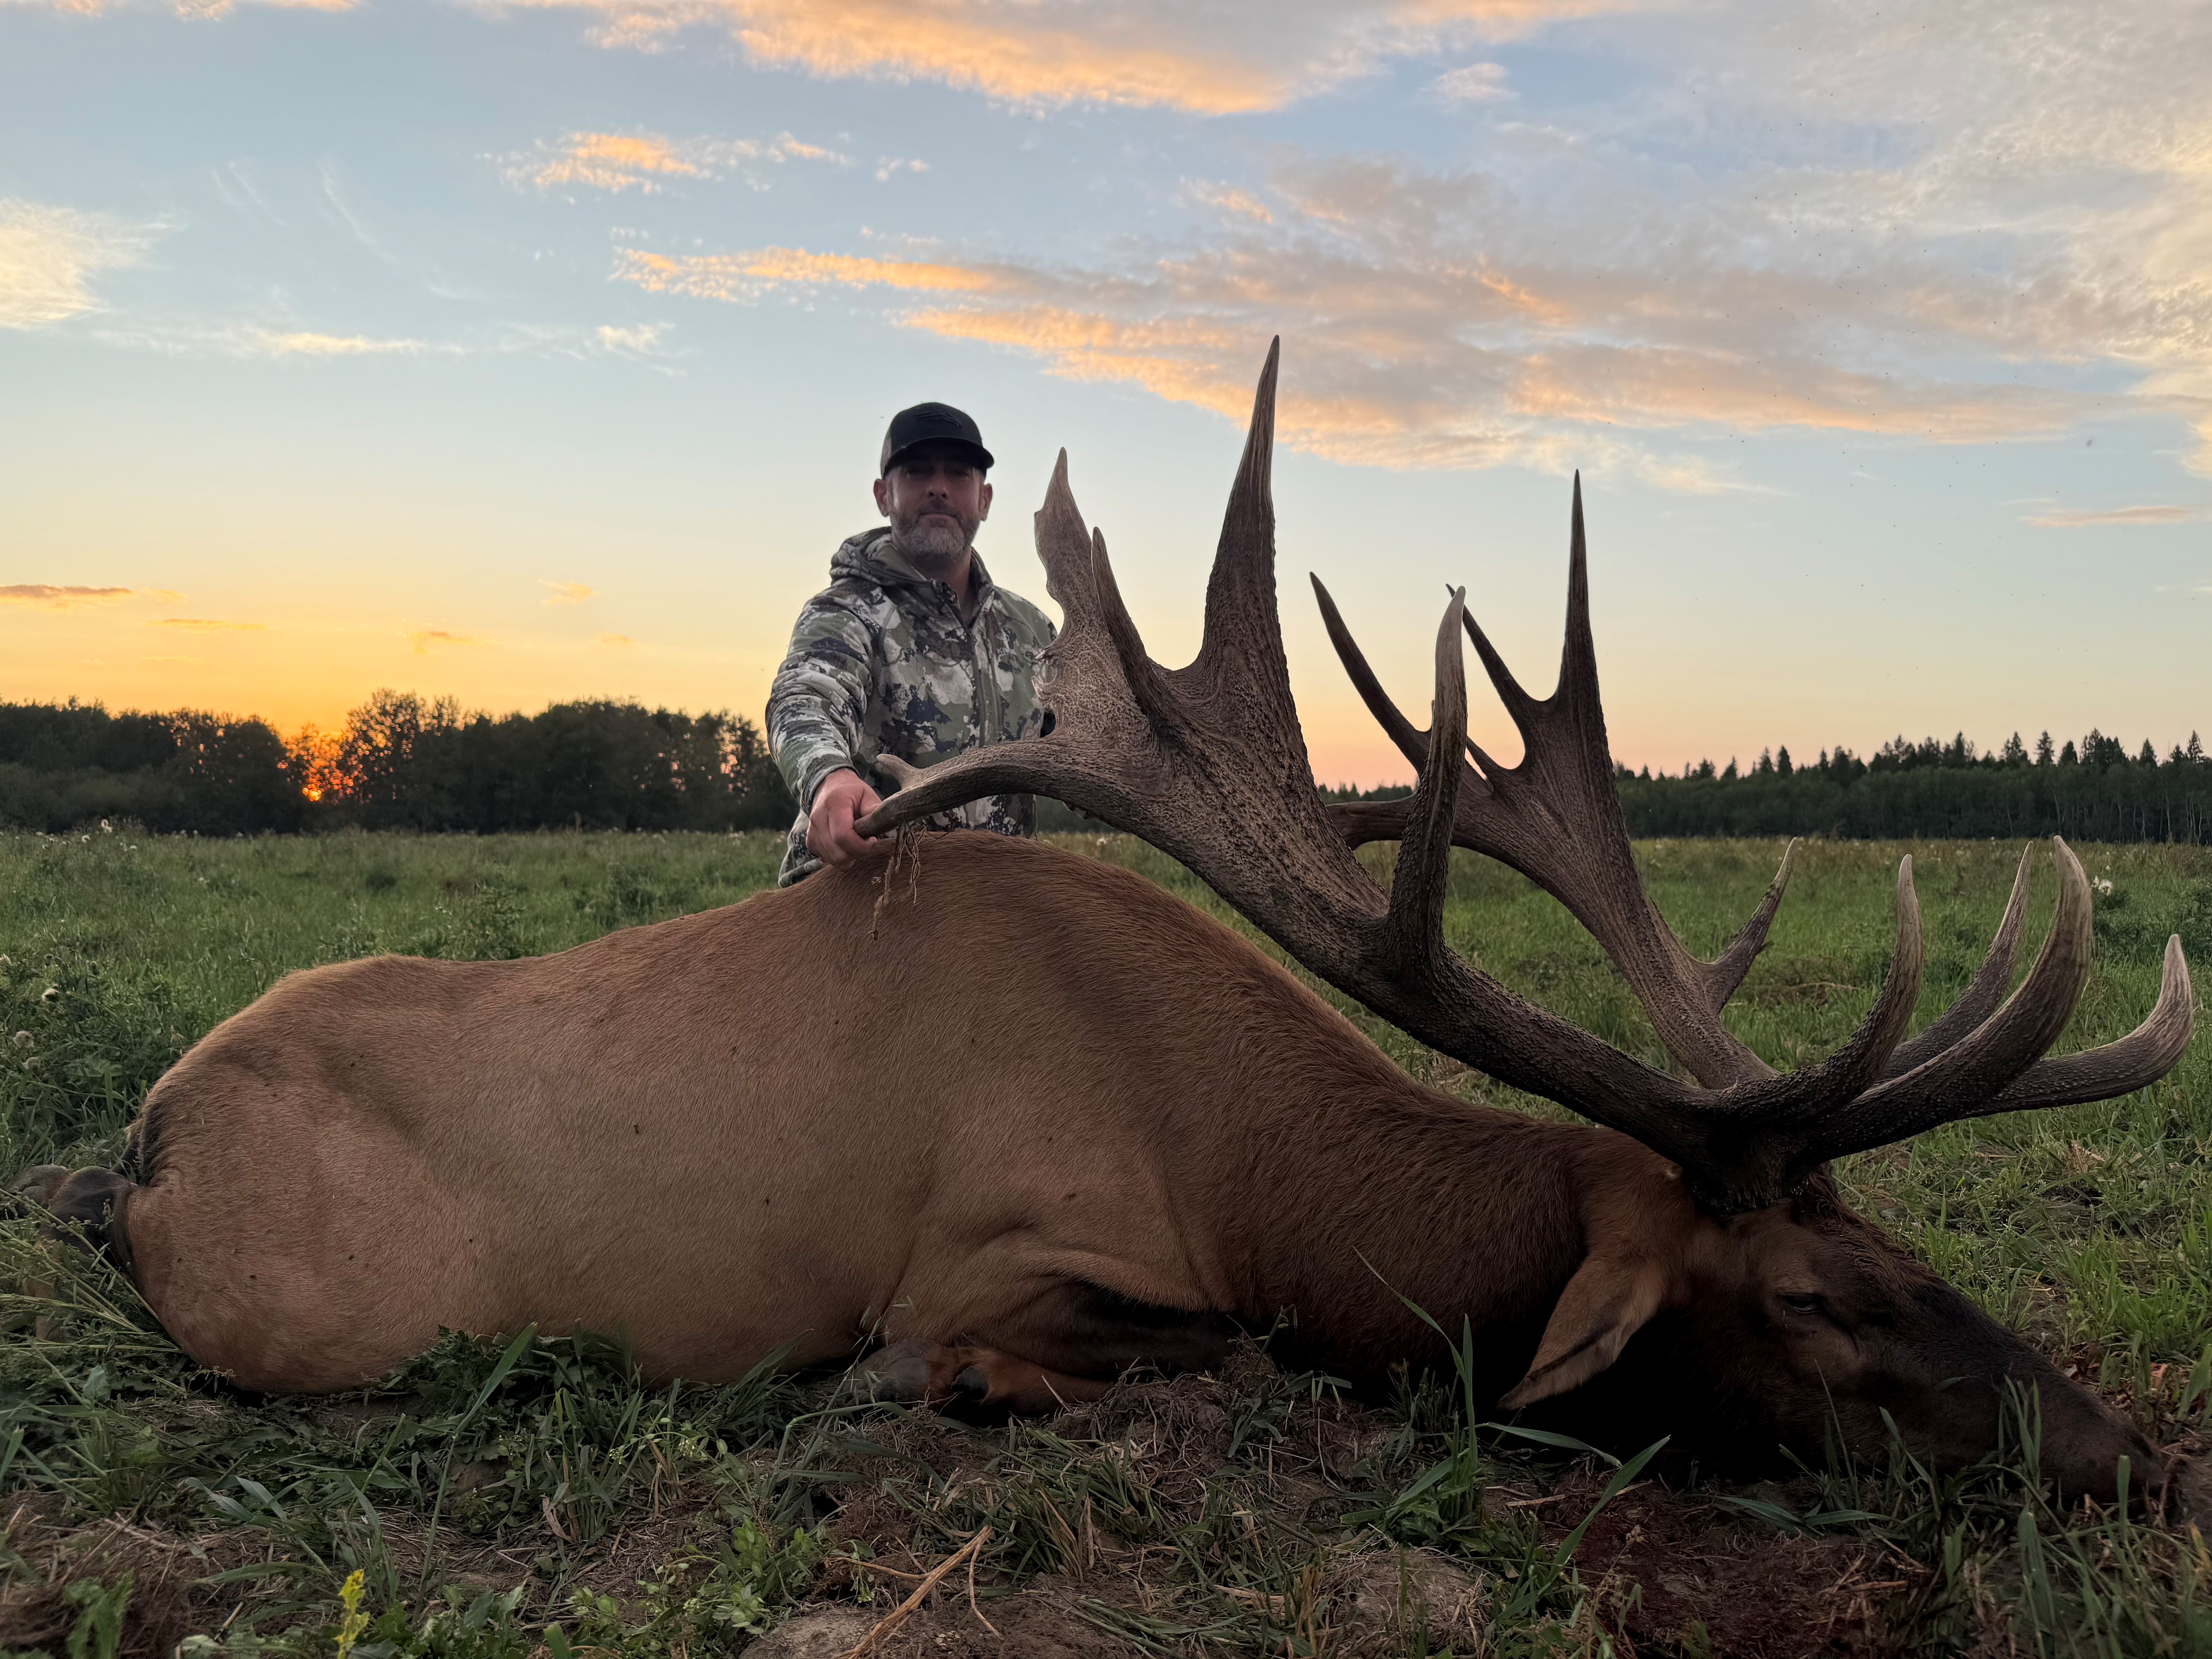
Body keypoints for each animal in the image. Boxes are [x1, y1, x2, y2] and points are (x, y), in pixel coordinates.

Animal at [22, 343, 2194, 1508]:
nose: (2123, 1449)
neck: (1250, 1174)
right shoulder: (984, 1252)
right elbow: (1220, 1356)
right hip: (311, 1319)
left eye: (1902, 1242)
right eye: (1812, 1299)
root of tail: (145, 1132)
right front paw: (910, 1394)